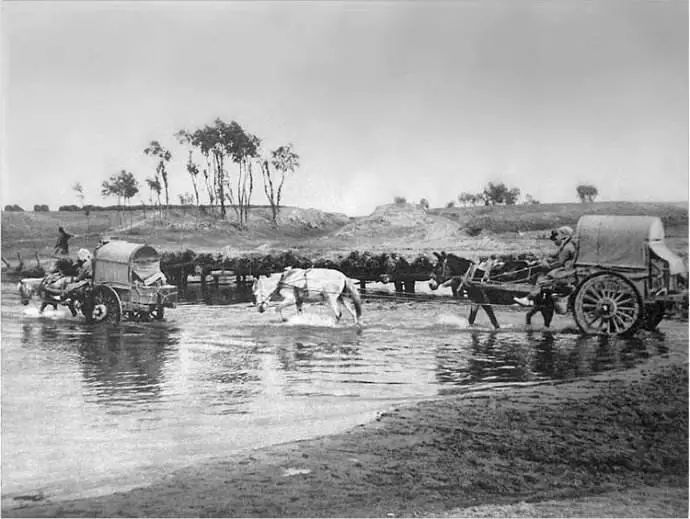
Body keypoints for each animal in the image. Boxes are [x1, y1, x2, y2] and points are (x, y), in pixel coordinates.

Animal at [428, 252, 556, 330]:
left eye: (438, 267)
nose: (430, 284)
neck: (471, 276)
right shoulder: (476, 301)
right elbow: (471, 319)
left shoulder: (484, 301)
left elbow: (493, 320)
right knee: (545, 314)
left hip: (539, 298)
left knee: (544, 313)